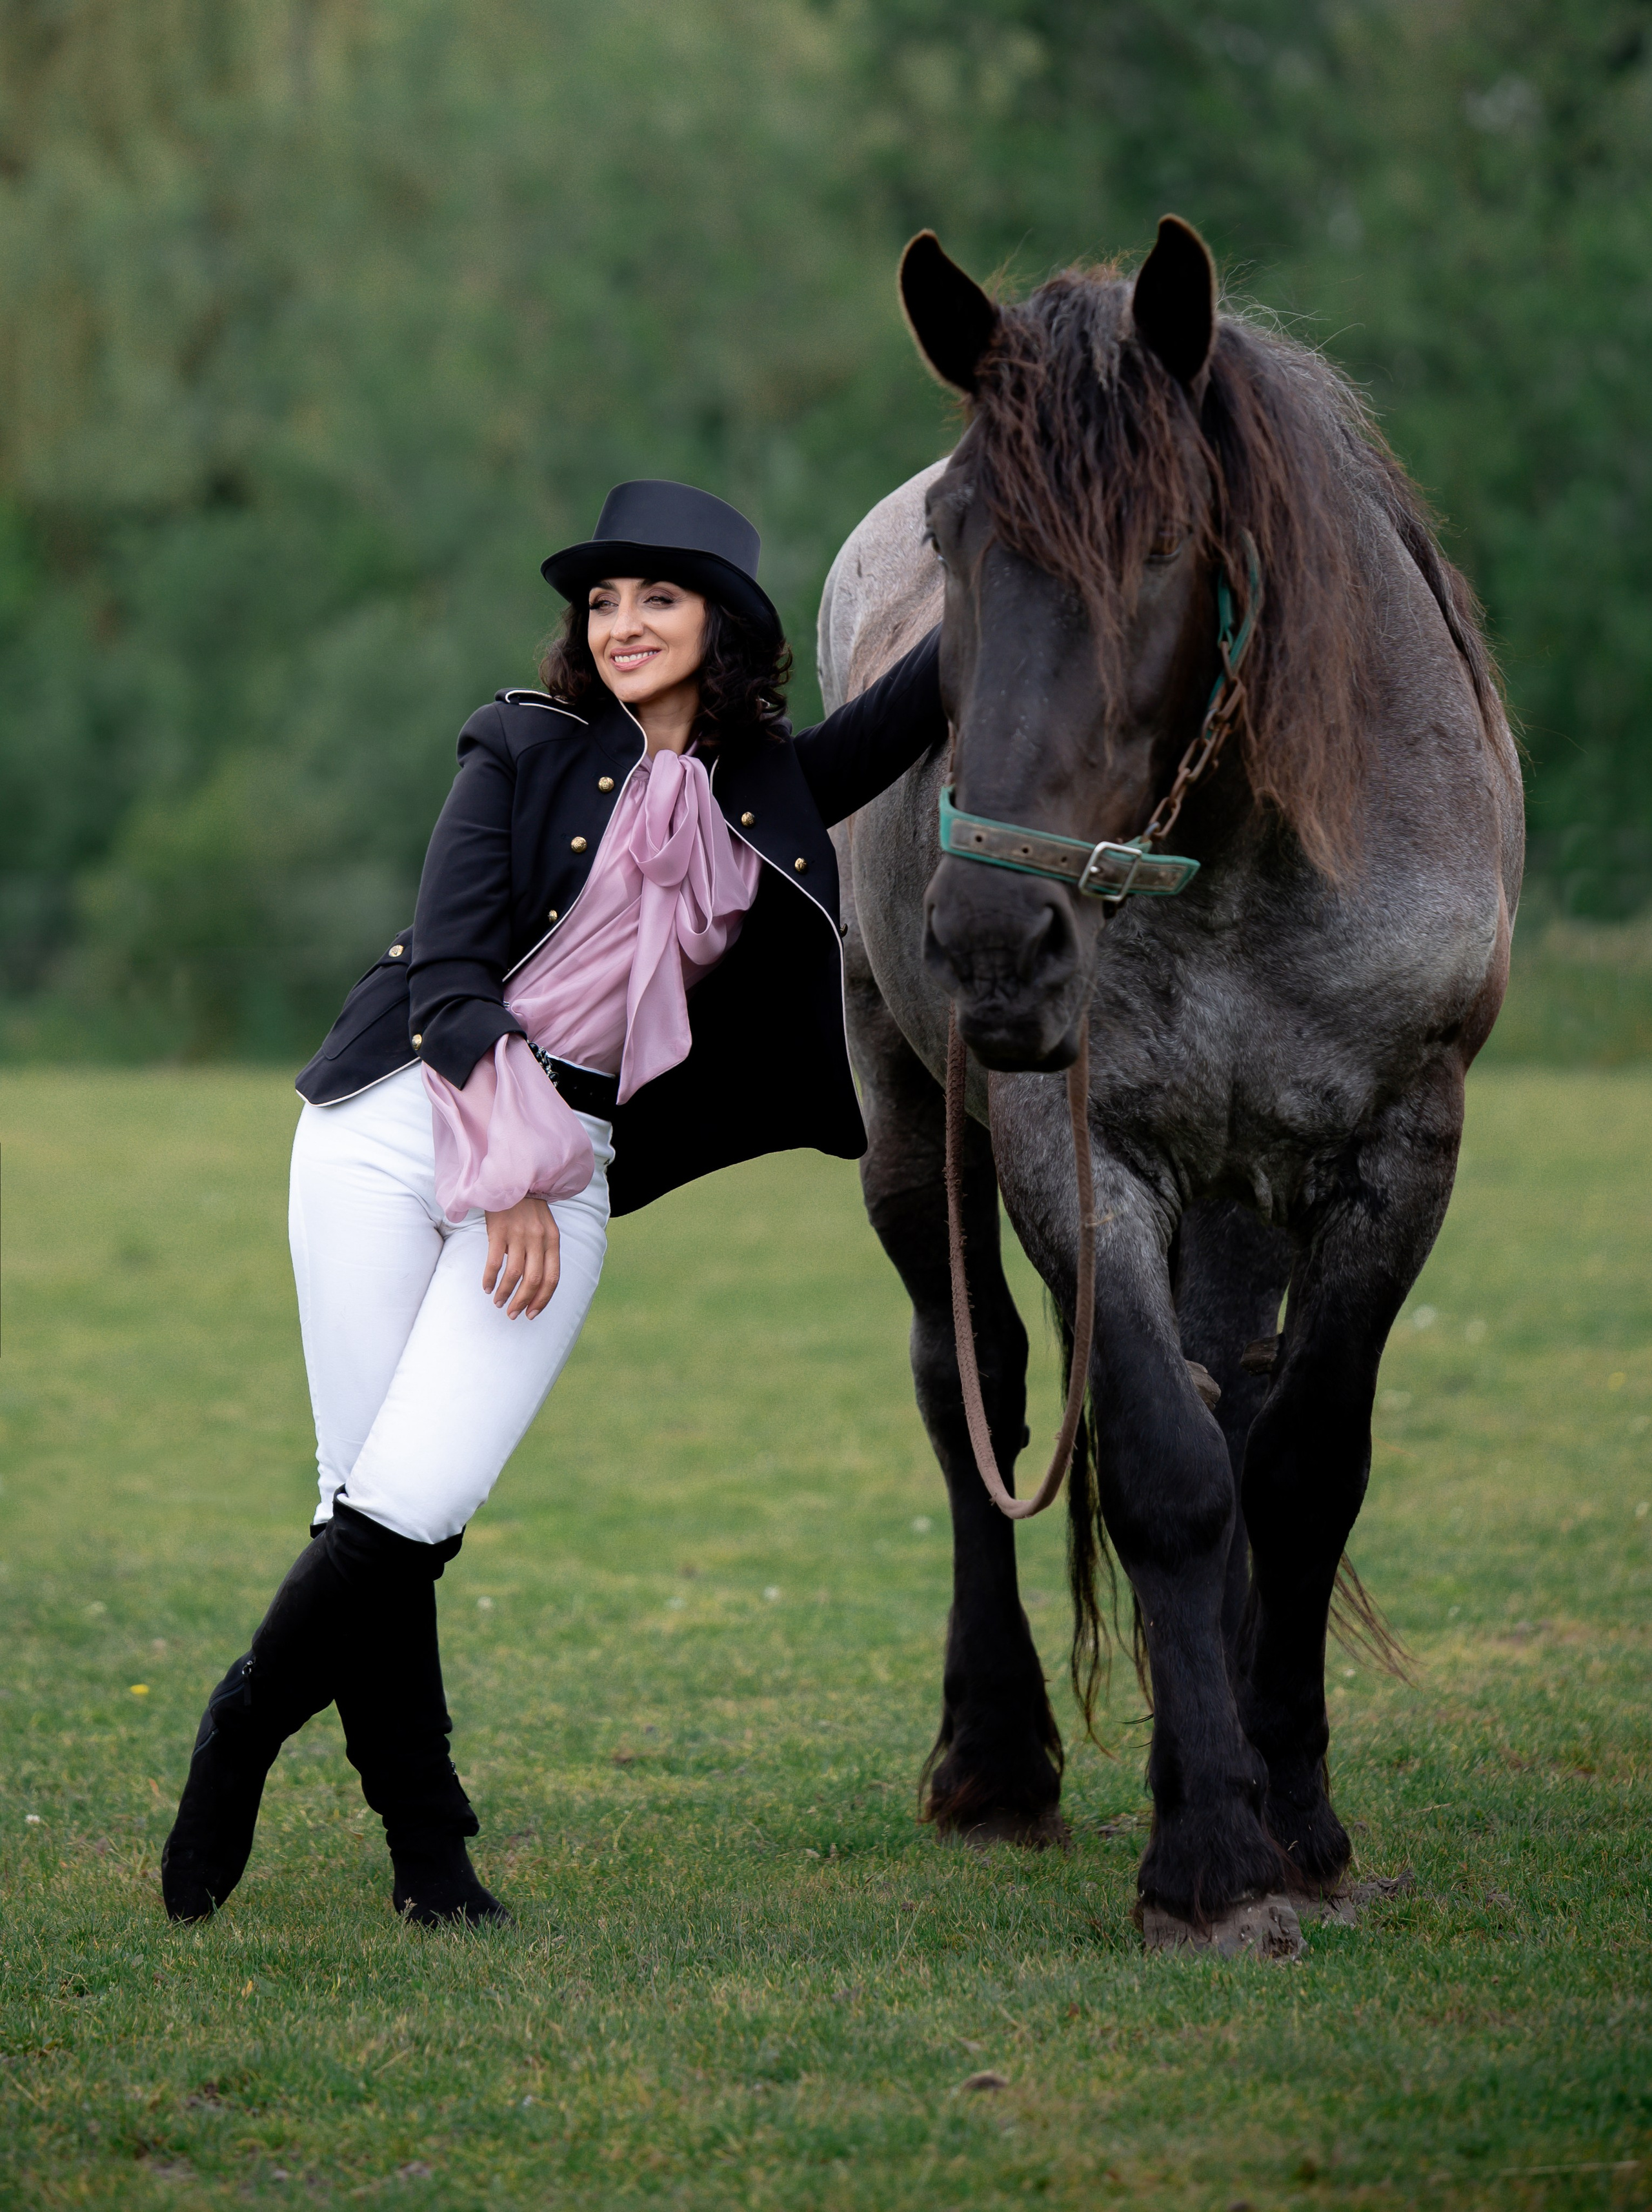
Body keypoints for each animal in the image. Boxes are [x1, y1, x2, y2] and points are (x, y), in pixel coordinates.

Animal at [817, 217, 1522, 1944]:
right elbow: (1160, 1469)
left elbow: (1299, 1467)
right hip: (908, 1126)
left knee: (1236, 1393)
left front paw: (1295, 1811)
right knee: (974, 1388)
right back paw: (996, 1758)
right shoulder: (1080, 1161)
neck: (1239, 847)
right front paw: (1206, 1851)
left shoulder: (1394, 1153)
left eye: (1160, 545)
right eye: (954, 532)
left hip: (1246, 1188)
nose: (993, 942)